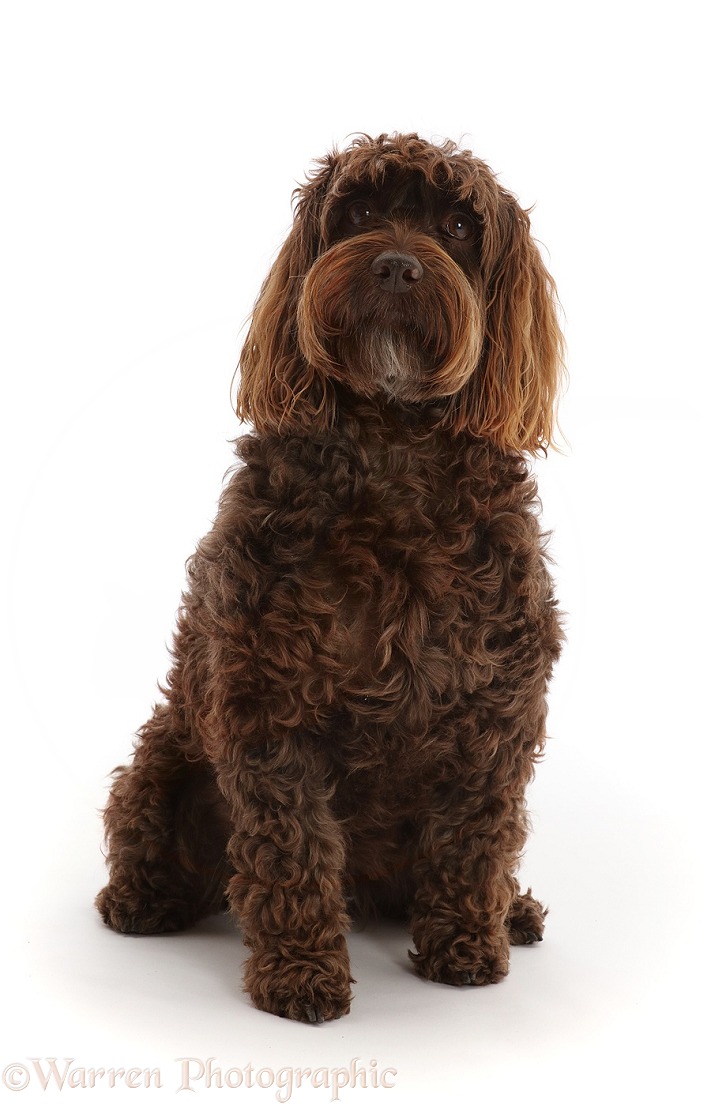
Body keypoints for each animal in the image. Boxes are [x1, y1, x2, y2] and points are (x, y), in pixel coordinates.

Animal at [97, 133, 566, 1021]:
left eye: (458, 224)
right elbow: (292, 849)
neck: (393, 451)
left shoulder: (496, 709)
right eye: (358, 212)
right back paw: (141, 900)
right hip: (164, 762)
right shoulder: (268, 702)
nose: (394, 266)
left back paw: (512, 911)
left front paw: (466, 944)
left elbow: (475, 838)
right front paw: (300, 971)